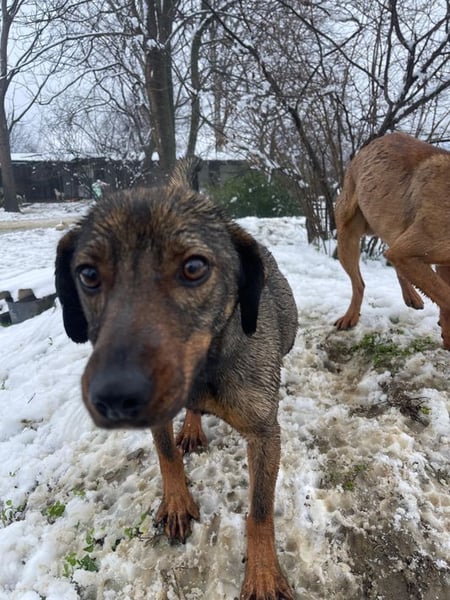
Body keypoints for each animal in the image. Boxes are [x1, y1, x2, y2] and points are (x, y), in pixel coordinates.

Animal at [55, 172, 298, 600]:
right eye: (88, 274)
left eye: (194, 267)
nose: (114, 397)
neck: (204, 371)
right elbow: (166, 455)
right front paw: (177, 502)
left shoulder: (266, 434)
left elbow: (260, 509)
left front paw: (263, 573)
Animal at [334, 132, 450, 349]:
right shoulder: (407, 252)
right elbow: (447, 298)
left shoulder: (440, 263)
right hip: (348, 237)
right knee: (358, 284)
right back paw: (350, 316)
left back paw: (411, 297)